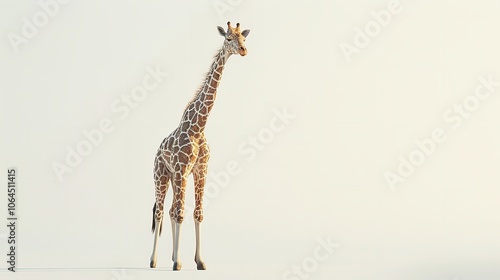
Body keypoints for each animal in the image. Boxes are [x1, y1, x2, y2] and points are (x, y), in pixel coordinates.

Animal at [148, 21, 250, 272]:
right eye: (228, 39)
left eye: (243, 38)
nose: (244, 51)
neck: (199, 127)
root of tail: (156, 151)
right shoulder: (183, 169)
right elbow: (180, 213)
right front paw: (179, 263)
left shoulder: (200, 170)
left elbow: (197, 213)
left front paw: (199, 261)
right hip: (161, 175)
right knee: (161, 213)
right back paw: (154, 260)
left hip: (175, 178)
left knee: (171, 210)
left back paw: (172, 257)